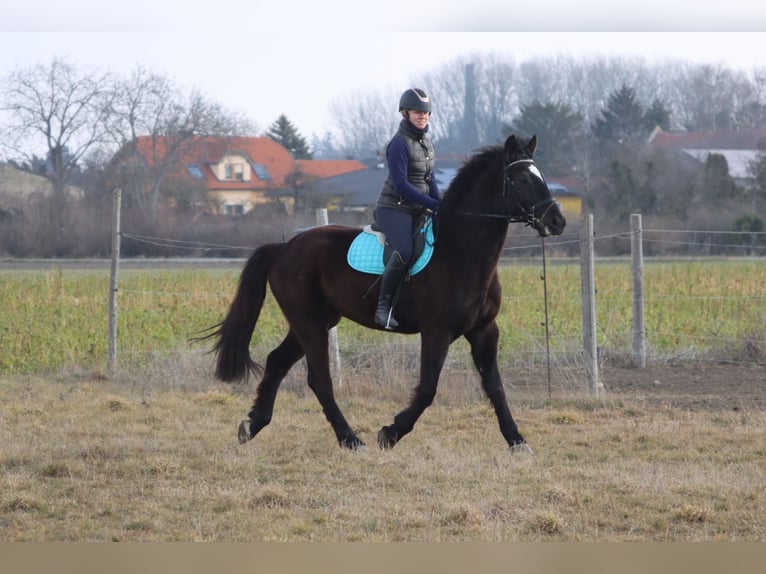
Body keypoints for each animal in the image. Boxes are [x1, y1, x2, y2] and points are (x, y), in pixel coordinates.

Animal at [204, 136, 564, 454]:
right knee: (319, 380)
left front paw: (517, 441)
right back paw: (351, 440)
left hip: (315, 321)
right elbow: (427, 389)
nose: (557, 221)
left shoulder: (484, 331)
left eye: (540, 176)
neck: (460, 251)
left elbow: (495, 387)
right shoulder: (437, 332)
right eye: (521, 178)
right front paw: (390, 433)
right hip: (310, 324)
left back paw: (252, 425)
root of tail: (284, 248)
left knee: (277, 362)